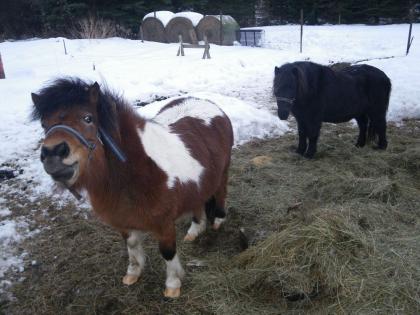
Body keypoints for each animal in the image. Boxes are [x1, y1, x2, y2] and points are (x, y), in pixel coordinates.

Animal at [30, 78, 233, 298]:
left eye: (88, 118)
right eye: (44, 124)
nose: (52, 153)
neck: (137, 173)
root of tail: (212, 105)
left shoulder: (164, 225)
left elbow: (168, 252)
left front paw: (172, 285)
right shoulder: (124, 221)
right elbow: (132, 246)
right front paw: (133, 273)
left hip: (223, 174)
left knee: (220, 193)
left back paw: (218, 220)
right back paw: (194, 230)